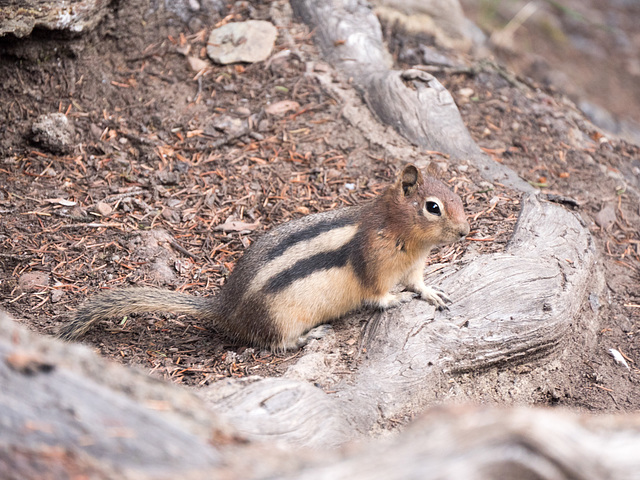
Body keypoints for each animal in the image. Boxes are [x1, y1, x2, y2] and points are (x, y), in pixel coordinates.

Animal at [58, 165, 470, 348]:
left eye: (457, 195)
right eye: (433, 207)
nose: (466, 231)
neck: (403, 235)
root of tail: (223, 308)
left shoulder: (414, 267)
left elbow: (420, 284)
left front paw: (432, 293)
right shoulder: (374, 265)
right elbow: (379, 295)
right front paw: (397, 299)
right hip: (279, 318)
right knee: (275, 342)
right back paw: (309, 335)